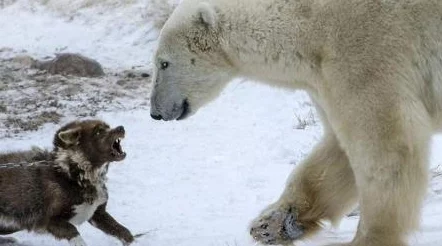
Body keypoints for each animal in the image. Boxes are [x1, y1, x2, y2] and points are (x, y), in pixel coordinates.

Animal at [150, 0, 442, 246]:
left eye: (163, 63)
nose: (155, 112)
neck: (310, 25)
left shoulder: (367, 55)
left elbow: (386, 145)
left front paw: (369, 238)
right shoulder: (325, 79)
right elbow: (336, 150)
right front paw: (272, 223)